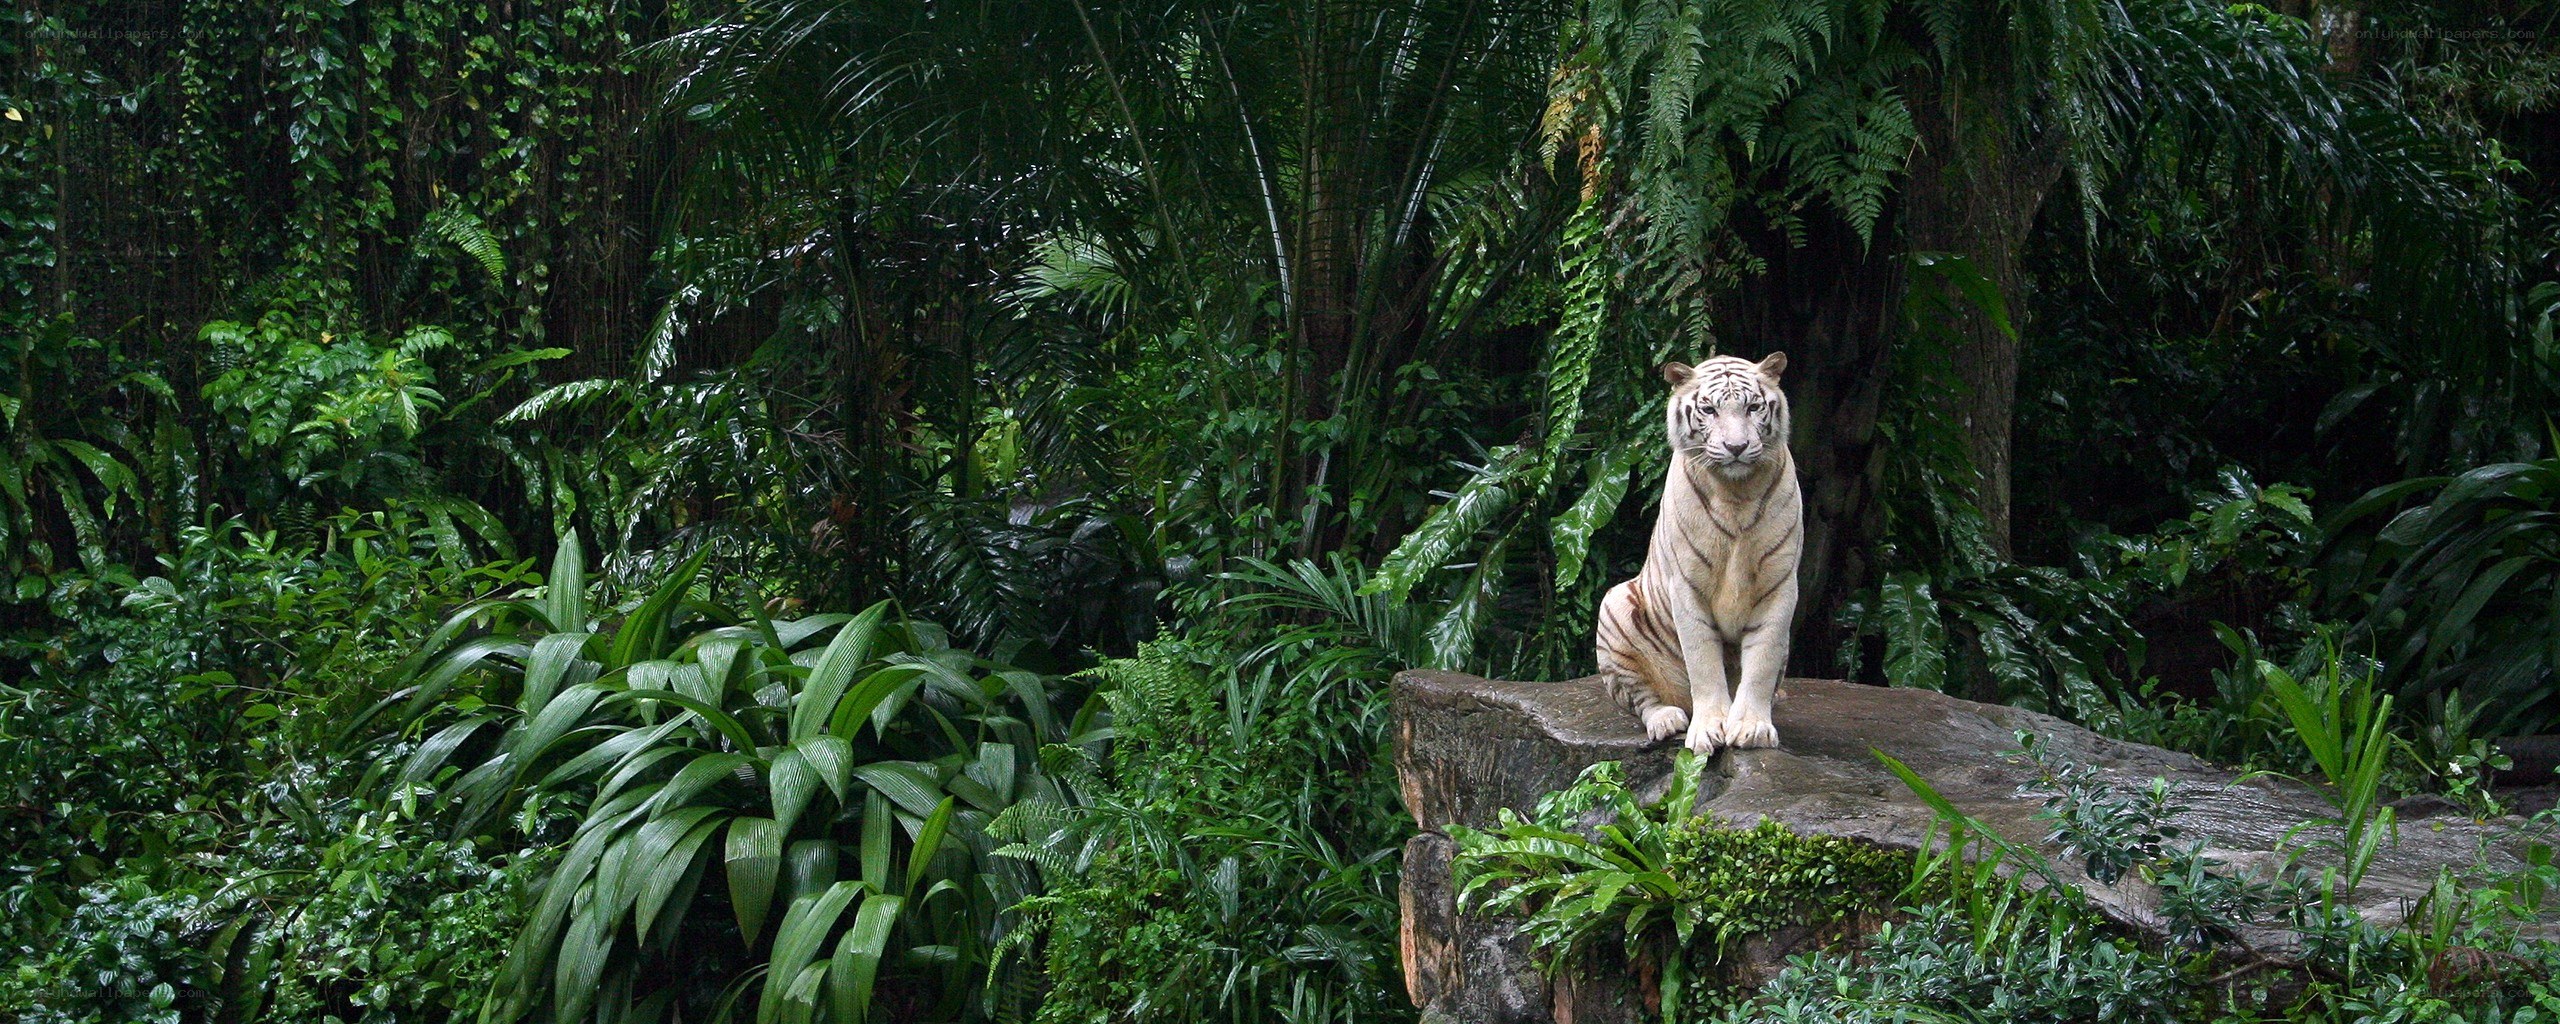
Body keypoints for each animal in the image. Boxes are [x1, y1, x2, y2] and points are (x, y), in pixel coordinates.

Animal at [1594, 352, 1802, 755]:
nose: (1736, 447)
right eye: (1708, 409)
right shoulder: (1686, 585)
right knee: (1642, 698)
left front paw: (1752, 728)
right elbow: (1703, 663)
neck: (1737, 494)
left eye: (1753, 407)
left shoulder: (1779, 584)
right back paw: (1666, 719)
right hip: (1614, 606)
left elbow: (1762, 661)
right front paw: (1708, 730)